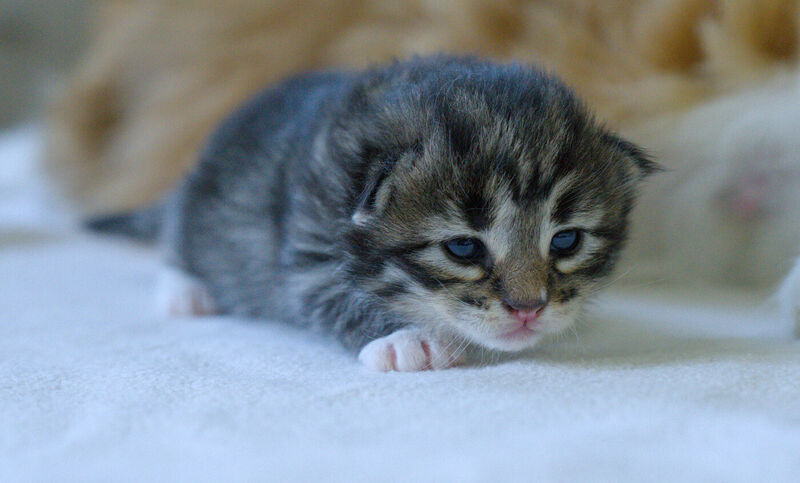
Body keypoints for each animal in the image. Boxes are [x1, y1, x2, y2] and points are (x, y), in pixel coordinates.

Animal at [94, 57, 656, 374]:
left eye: (565, 242)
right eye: (463, 247)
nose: (528, 309)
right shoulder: (307, 245)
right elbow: (338, 295)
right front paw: (406, 339)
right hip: (199, 201)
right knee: (178, 239)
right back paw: (187, 291)